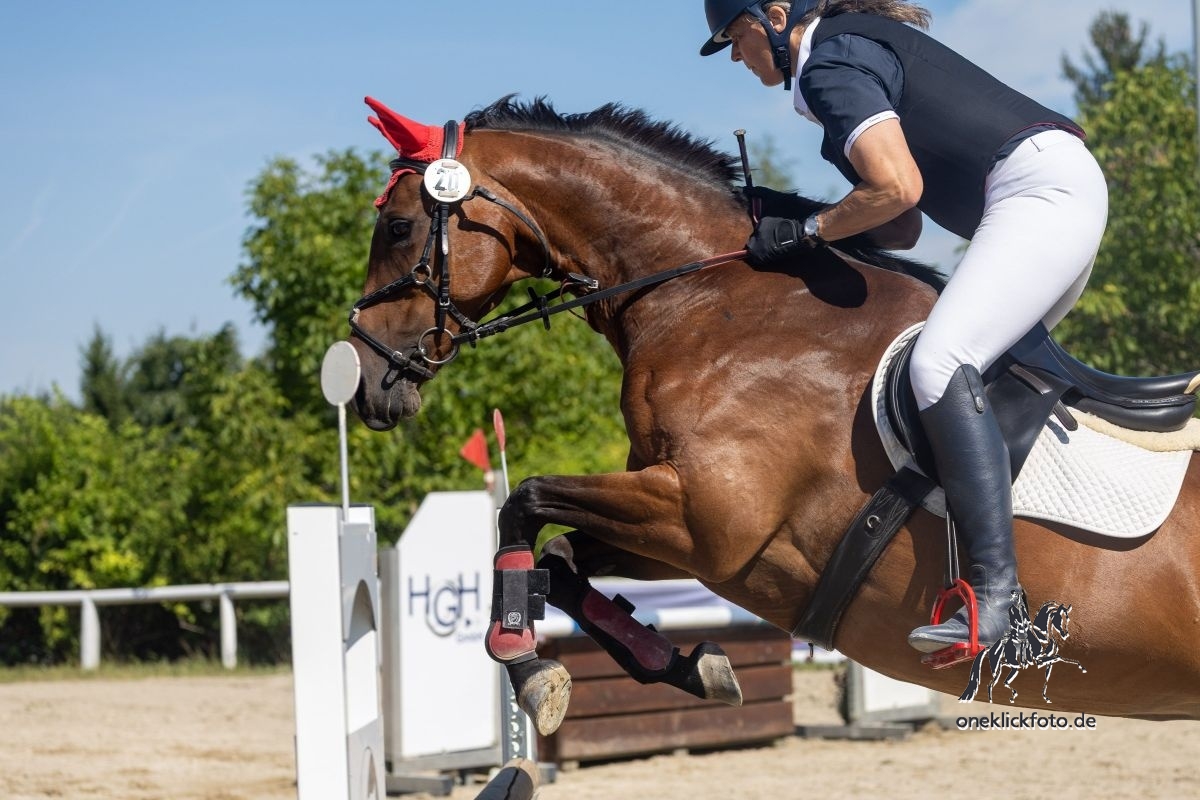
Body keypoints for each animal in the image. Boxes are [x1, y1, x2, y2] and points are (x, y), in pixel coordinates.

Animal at [959, 592, 1087, 705]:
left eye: (1067, 619)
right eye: (1059, 619)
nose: (1066, 635)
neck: (1042, 637)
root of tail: (991, 647)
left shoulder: (1047, 661)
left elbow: (1049, 673)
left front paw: (1046, 697)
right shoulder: (1040, 660)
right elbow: (1059, 657)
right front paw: (1081, 667)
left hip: (1008, 665)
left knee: (995, 683)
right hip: (1008, 666)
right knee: (996, 683)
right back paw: (1009, 696)